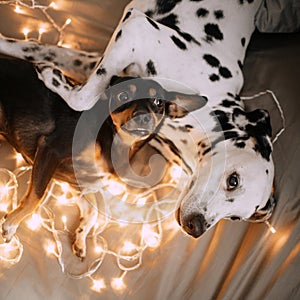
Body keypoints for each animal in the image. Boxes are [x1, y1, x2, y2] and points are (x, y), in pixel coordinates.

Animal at [0, 0, 276, 239]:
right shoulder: (137, 29)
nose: (196, 228)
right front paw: (56, 80)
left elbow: (37, 49)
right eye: (233, 181)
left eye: (236, 218)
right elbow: (83, 98)